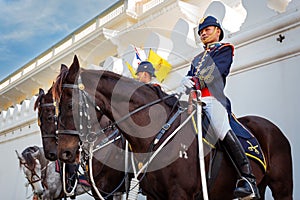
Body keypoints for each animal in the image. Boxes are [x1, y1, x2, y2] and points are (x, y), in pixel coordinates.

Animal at [54, 55, 292, 200]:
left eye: (69, 104)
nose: (63, 153)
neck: (156, 133)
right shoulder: (151, 195)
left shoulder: (180, 193)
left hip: (281, 186)